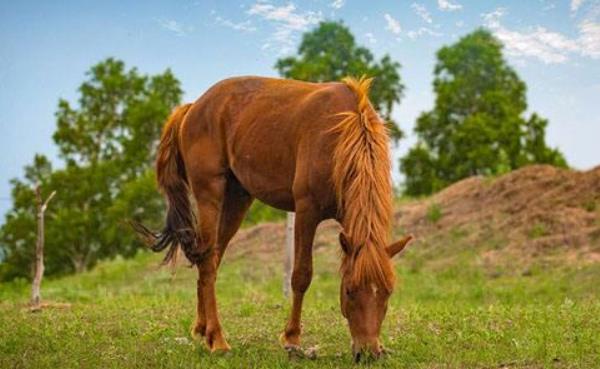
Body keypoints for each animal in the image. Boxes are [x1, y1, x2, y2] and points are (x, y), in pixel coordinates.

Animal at [132, 74, 412, 360]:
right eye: (349, 290)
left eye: (388, 292)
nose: (368, 353)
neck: (341, 134)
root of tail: (193, 107)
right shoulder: (306, 212)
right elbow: (301, 276)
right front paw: (292, 338)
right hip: (209, 193)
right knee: (208, 260)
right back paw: (218, 339)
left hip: (238, 199)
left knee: (211, 259)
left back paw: (203, 328)